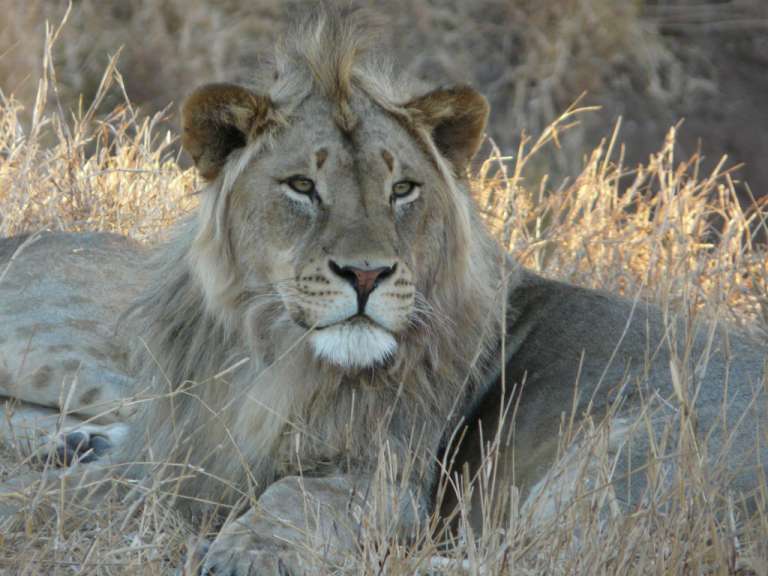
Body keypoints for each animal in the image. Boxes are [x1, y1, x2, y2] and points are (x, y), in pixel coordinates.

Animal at [1, 7, 767, 574]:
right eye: (302, 187)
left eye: (402, 189)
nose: (366, 275)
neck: (275, 360)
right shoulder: (178, 452)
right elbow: (68, 493)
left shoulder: (393, 485)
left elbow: (298, 494)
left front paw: (244, 552)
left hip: (638, 444)